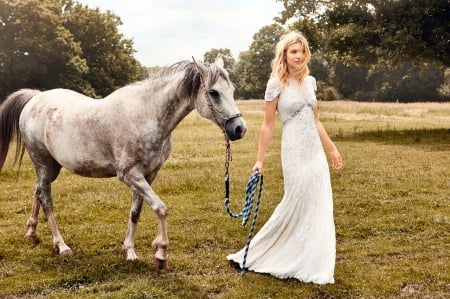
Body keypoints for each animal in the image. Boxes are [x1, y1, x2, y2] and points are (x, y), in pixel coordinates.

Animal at [0, 57, 246, 268]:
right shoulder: (130, 175)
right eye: (213, 92)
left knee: (38, 192)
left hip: (50, 167)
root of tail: (34, 99)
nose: (239, 129)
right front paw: (160, 254)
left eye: (232, 90)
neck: (146, 115)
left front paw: (129, 251)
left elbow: (135, 213)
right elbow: (161, 208)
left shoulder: (148, 175)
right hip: (43, 163)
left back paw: (31, 233)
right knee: (47, 201)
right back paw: (61, 245)